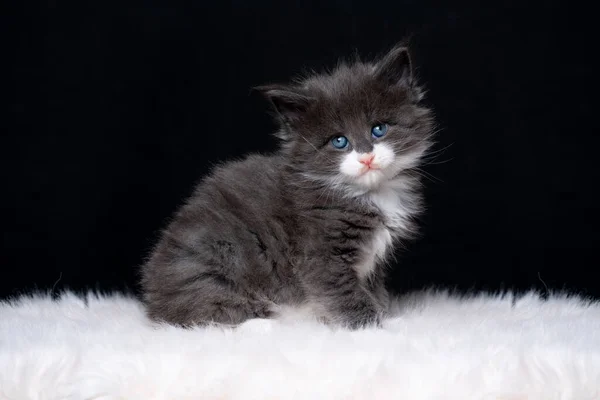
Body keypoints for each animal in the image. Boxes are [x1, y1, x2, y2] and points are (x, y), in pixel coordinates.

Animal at [144, 42, 438, 330]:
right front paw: (370, 327)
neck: (367, 193)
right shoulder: (320, 255)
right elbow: (344, 293)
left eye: (379, 129)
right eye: (339, 141)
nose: (366, 157)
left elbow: (374, 290)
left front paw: (388, 316)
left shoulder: (372, 263)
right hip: (215, 265)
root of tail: (154, 302)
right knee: (213, 315)